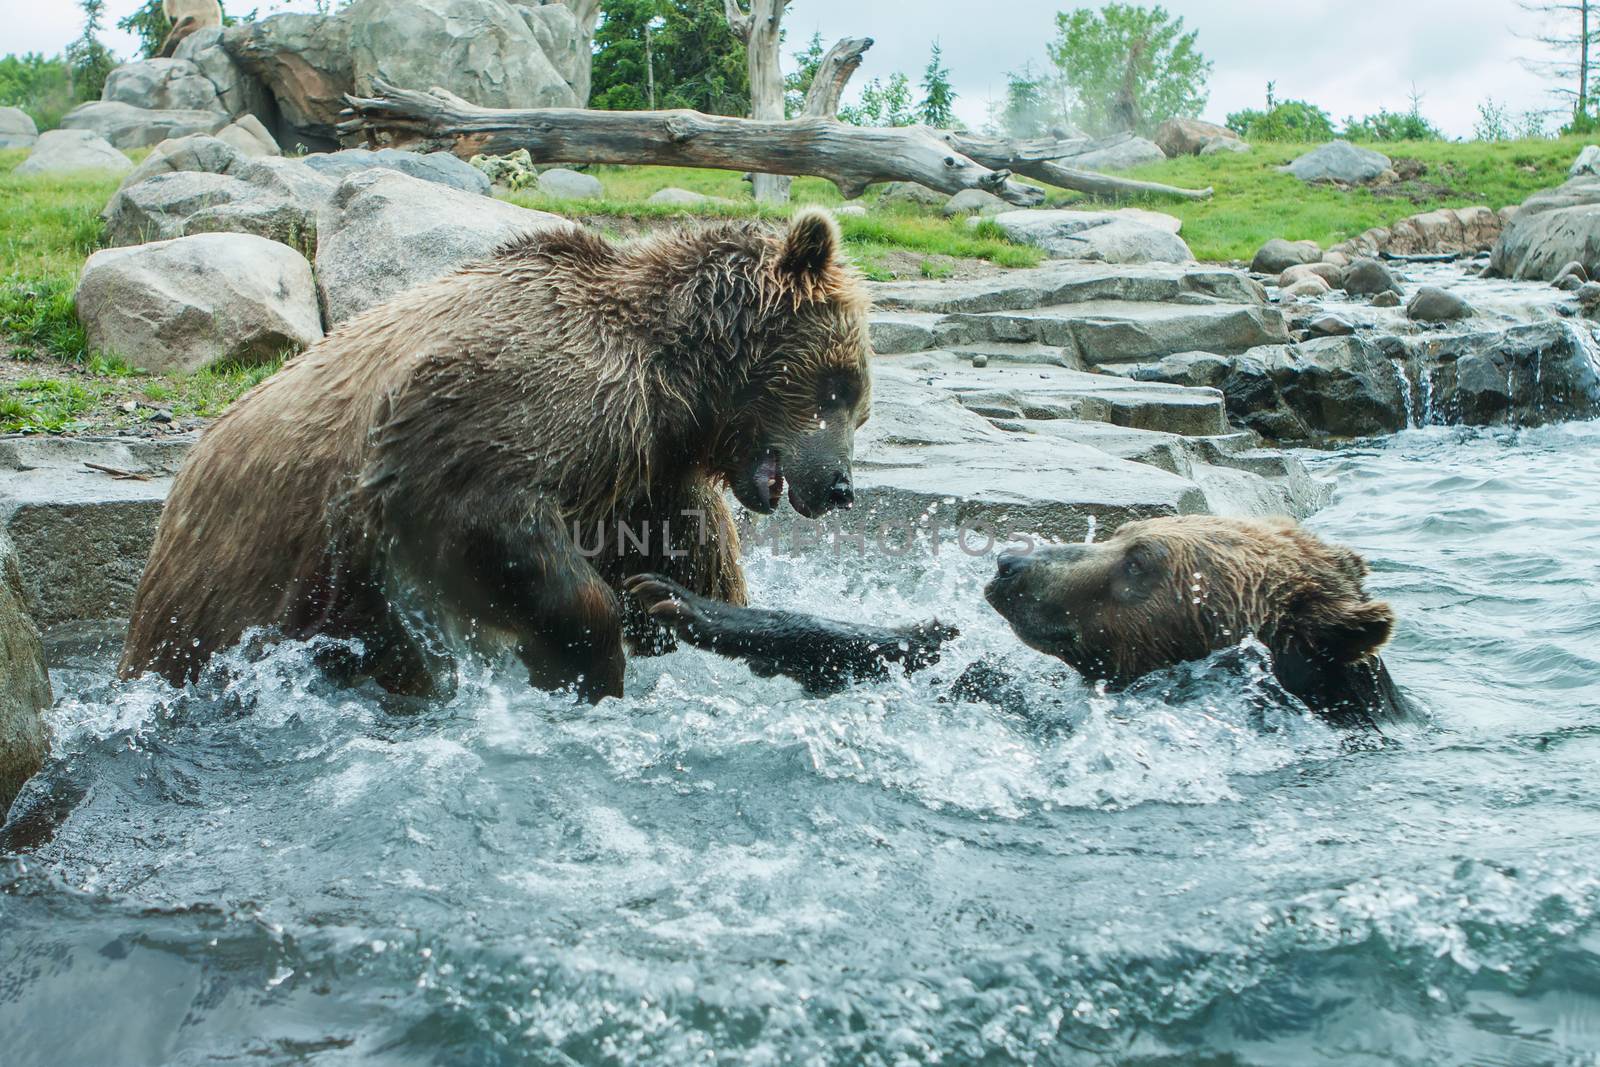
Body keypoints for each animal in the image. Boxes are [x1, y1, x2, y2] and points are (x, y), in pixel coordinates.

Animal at [121, 212, 876, 703]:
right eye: (841, 386)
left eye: (858, 402)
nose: (839, 485)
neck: (673, 384)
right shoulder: (503, 405)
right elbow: (489, 519)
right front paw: (589, 663)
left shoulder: (644, 480)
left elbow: (694, 564)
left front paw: (688, 612)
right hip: (241, 583)